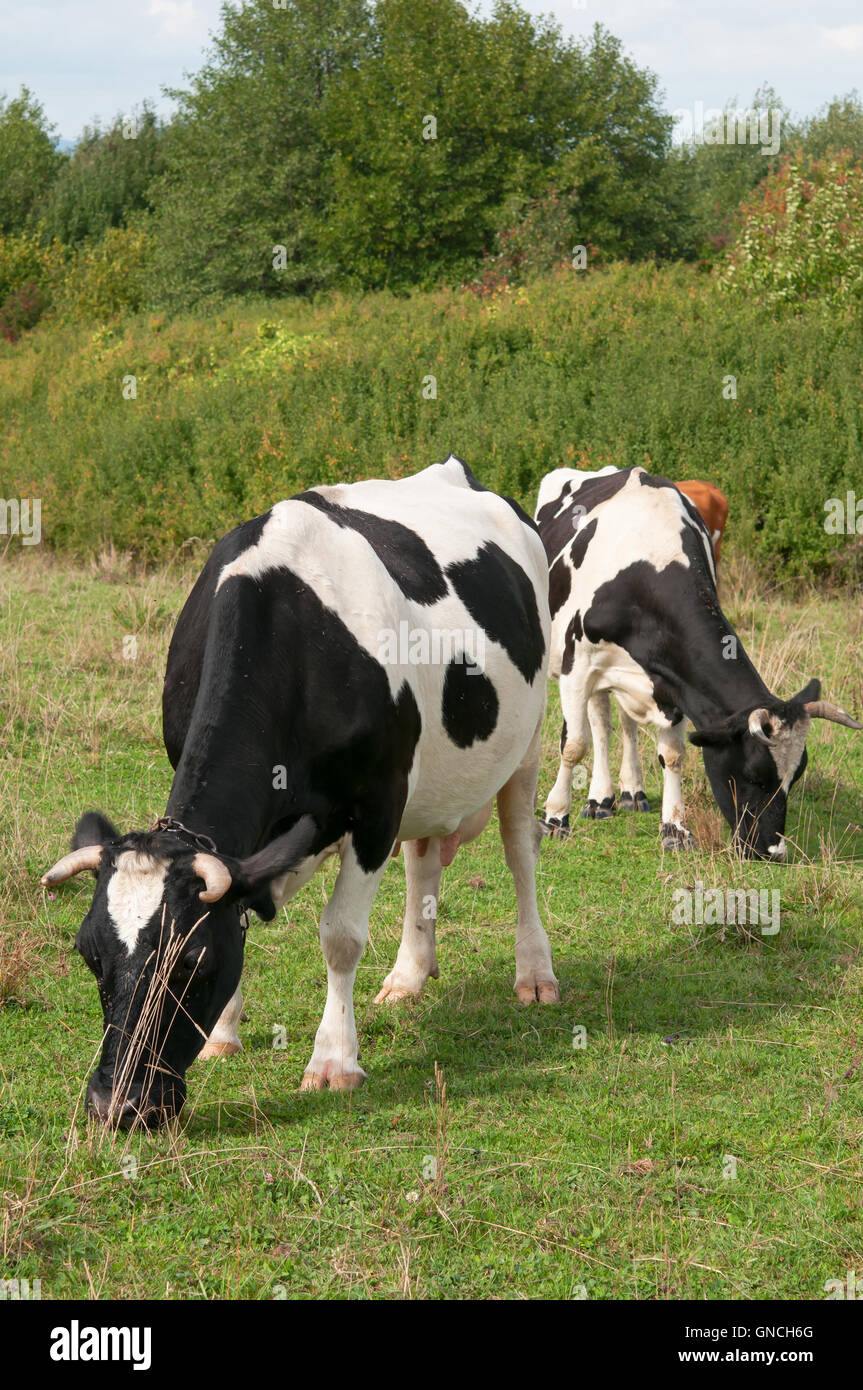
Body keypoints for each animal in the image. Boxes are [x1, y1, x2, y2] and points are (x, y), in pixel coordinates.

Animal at [40, 455, 555, 1128]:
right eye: (89, 953)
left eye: (192, 963)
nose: (118, 1104)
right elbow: (239, 901)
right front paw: (222, 1036)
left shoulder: (377, 805)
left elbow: (340, 936)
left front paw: (334, 1061)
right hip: (432, 780)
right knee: (423, 861)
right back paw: (409, 976)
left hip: (528, 739)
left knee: (520, 849)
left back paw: (535, 973)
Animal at [536, 467, 856, 856]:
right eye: (752, 774)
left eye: (795, 777)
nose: (773, 851)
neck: (650, 563)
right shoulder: (577, 665)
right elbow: (574, 745)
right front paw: (555, 817)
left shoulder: (673, 680)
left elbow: (672, 753)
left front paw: (674, 827)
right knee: (599, 726)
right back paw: (599, 799)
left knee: (621, 724)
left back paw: (628, 793)